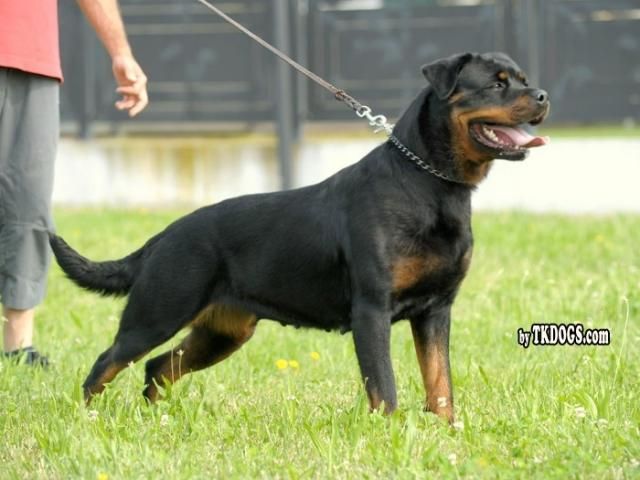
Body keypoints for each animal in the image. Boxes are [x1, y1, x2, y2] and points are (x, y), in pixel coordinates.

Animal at [50, 52, 549, 422]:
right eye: (497, 85)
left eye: (524, 80)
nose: (543, 95)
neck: (430, 183)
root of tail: (162, 236)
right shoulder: (372, 310)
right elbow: (384, 386)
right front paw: (389, 434)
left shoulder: (435, 310)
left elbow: (440, 382)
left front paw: (447, 432)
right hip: (158, 312)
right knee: (106, 363)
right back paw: (87, 419)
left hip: (223, 331)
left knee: (158, 367)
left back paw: (157, 419)